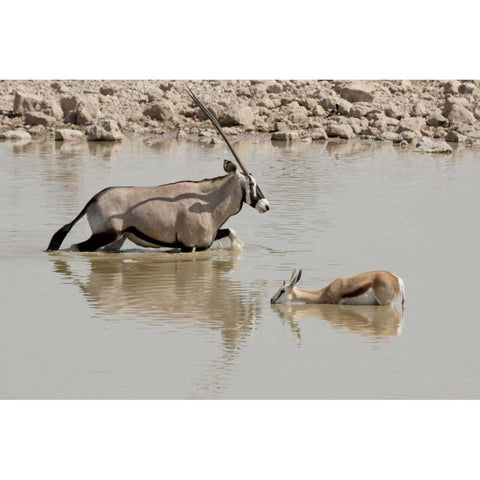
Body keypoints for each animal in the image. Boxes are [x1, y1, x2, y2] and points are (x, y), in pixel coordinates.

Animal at [45, 88, 270, 256]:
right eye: (251, 183)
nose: (266, 205)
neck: (208, 200)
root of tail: (93, 199)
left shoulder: (205, 241)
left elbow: (232, 232)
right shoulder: (188, 247)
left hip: (115, 241)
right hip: (105, 235)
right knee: (75, 247)